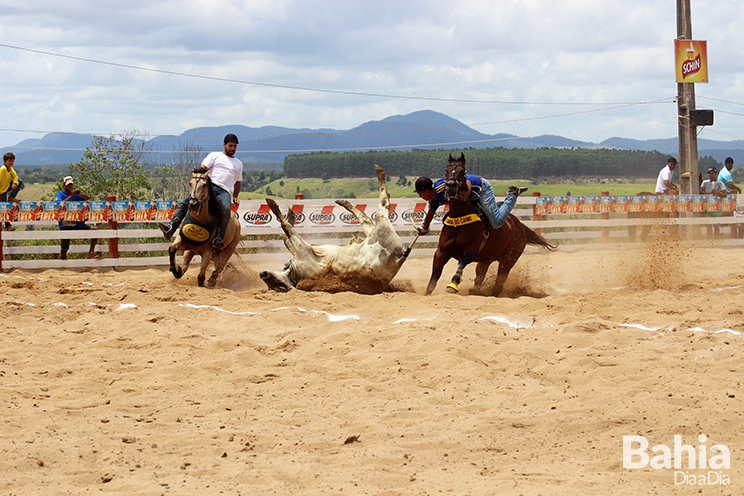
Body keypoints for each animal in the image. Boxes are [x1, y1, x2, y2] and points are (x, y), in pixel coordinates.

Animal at [260, 165, 412, 292]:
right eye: (279, 286)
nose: (263, 273)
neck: (295, 274)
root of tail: (399, 258)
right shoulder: (303, 249)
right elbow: (286, 229)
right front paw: (275, 206)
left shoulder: (303, 249)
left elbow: (287, 235)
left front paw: (290, 215)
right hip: (381, 229)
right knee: (382, 205)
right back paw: (378, 172)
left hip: (374, 232)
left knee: (369, 216)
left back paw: (343, 201)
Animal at [428, 161, 556, 296]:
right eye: (446, 171)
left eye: (462, 173)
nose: (450, 185)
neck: (459, 221)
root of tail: (519, 225)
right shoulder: (441, 252)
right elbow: (434, 278)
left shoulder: (471, 252)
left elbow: (461, 263)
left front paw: (453, 285)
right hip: (486, 260)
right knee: (480, 277)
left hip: (509, 260)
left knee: (499, 282)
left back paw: (516, 190)